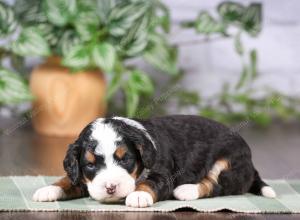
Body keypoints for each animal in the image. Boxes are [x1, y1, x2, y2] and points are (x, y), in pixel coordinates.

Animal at [32, 114, 274, 207]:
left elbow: (151, 183)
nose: (111, 187)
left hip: (229, 163)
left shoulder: (163, 173)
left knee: (216, 184)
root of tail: (251, 163)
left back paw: (186, 190)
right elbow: (69, 180)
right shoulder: (84, 178)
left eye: (125, 159)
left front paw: (139, 195)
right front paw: (48, 189)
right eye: (90, 164)